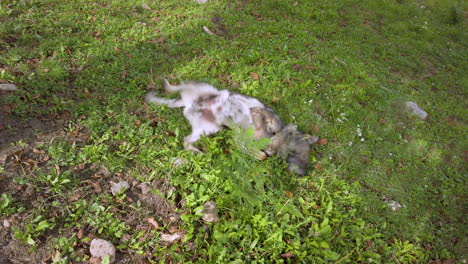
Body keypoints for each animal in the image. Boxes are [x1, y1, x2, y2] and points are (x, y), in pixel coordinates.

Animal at [144, 78, 316, 175]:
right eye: (299, 153)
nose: (302, 173)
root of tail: (188, 103)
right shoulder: (263, 116)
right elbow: (272, 121)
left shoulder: (239, 138)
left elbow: (257, 153)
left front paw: (260, 153)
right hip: (205, 88)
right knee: (178, 86)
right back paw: (165, 84)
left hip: (209, 128)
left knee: (186, 141)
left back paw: (197, 152)